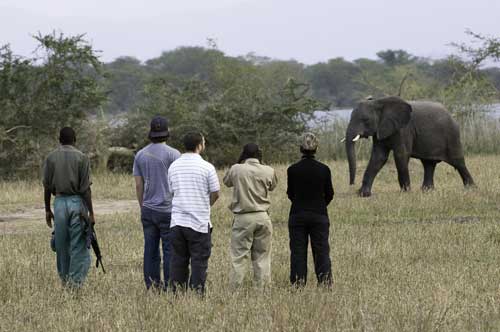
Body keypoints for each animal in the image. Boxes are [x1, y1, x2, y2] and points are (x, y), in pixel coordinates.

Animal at [346, 96, 474, 196]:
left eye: (365, 120)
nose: (352, 184)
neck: (379, 102)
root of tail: (452, 116)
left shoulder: (404, 129)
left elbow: (401, 155)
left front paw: (405, 192)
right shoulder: (380, 131)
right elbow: (378, 157)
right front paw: (363, 194)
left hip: (452, 135)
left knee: (458, 162)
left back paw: (471, 188)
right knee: (428, 164)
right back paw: (427, 191)